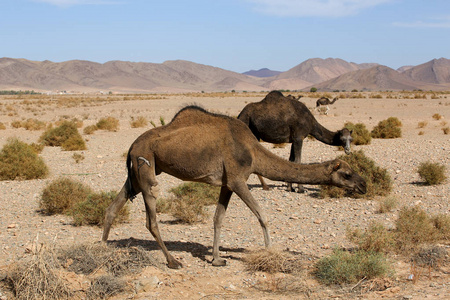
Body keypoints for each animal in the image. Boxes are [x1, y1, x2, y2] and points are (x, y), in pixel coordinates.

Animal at [102, 106, 366, 270]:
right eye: (347, 174)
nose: (363, 185)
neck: (253, 151)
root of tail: (132, 146)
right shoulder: (238, 179)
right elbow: (262, 215)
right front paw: (270, 252)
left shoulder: (227, 184)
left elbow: (218, 218)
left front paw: (217, 259)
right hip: (145, 167)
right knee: (151, 220)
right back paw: (173, 262)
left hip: (138, 174)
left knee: (114, 206)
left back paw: (102, 248)